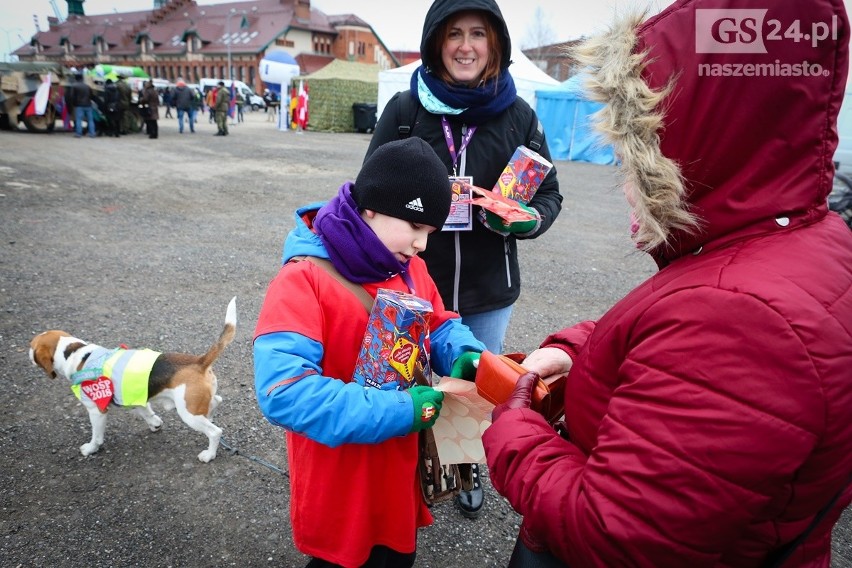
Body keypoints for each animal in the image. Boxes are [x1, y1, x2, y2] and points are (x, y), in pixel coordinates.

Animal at [30, 298, 236, 462]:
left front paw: (90, 448)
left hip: (188, 413)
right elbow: (147, 412)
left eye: (32, 346)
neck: (75, 353)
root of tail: (199, 361)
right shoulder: (135, 396)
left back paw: (209, 454)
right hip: (197, 404)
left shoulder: (96, 410)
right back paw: (210, 416)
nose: (27, 353)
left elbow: (96, 436)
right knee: (217, 401)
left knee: (215, 431)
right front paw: (155, 424)